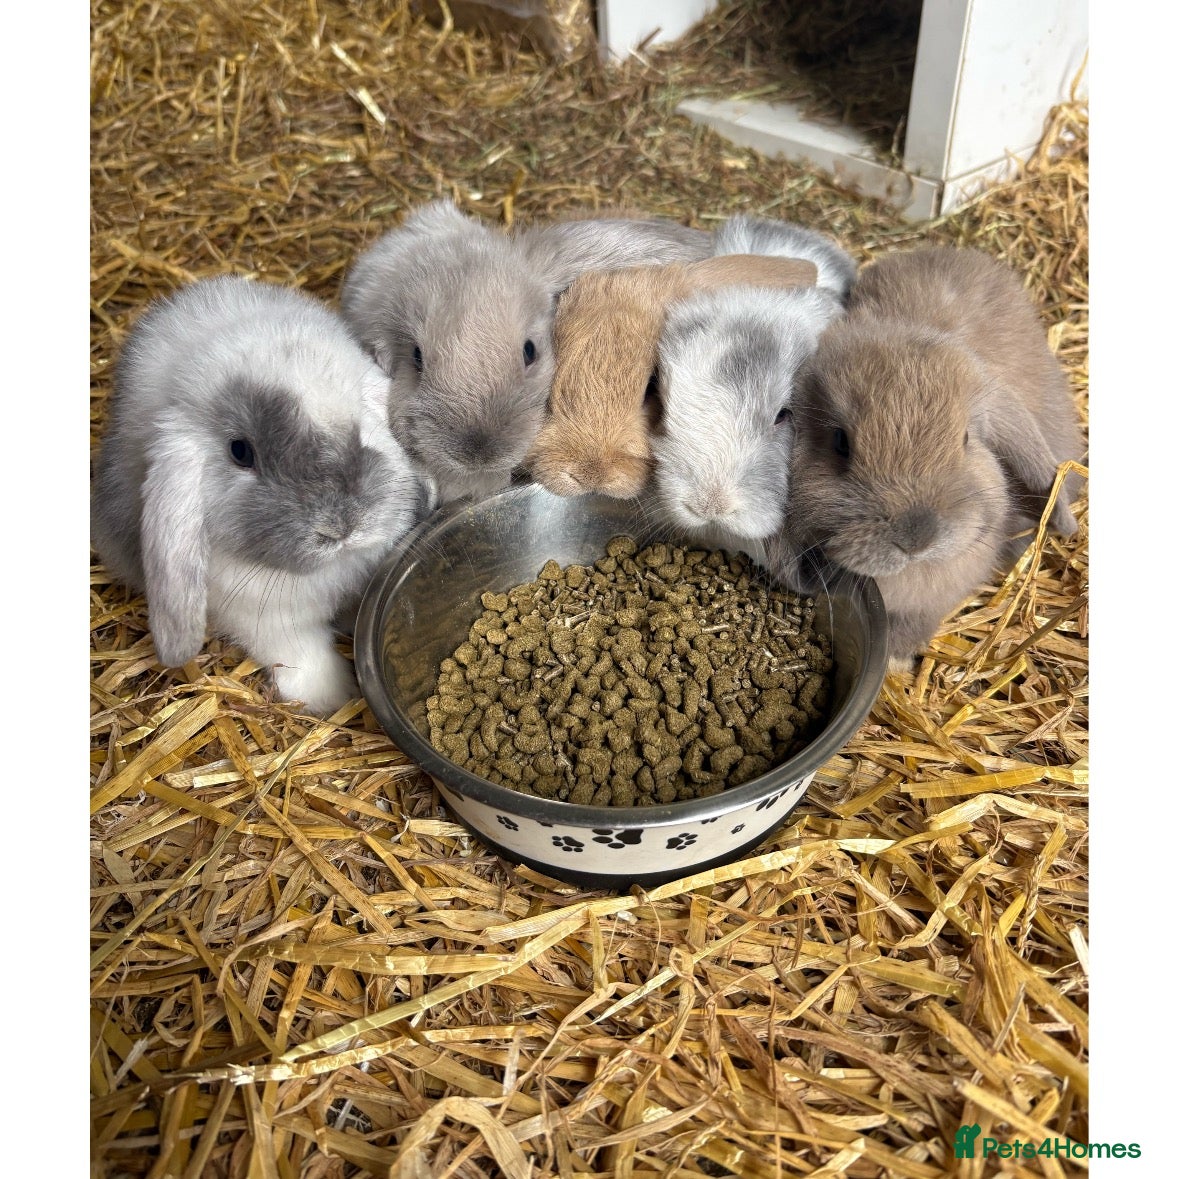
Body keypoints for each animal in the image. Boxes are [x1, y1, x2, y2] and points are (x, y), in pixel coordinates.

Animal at [90, 275, 434, 716]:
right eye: (241, 451)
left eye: (360, 424)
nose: (340, 527)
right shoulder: (268, 621)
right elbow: (303, 656)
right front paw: (334, 696)